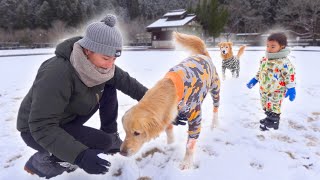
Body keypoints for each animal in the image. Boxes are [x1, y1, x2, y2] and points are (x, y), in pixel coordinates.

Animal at [119, 32, 220, 169]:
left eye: (137, 133)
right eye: (125, 131)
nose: (122, 152)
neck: (169, 91)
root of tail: (202, 54)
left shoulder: (195, 117)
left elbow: (190, 144)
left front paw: (186, 163)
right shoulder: (167, 116)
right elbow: (169, 131)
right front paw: (170, 146)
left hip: (215, 89)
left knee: (216, 108)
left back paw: (214, 124)